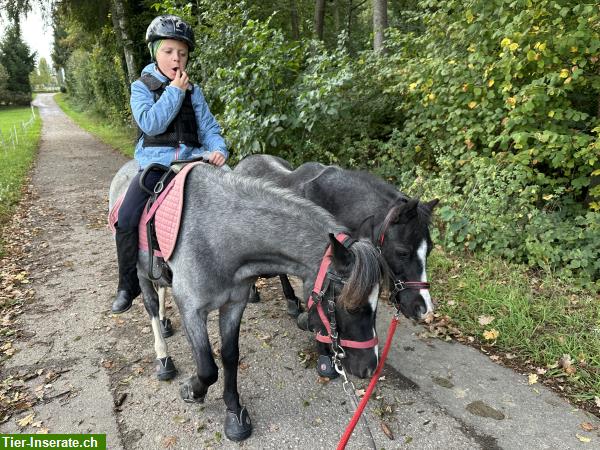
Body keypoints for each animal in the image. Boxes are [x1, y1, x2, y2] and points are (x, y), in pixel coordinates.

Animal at [109, 160, 382, 442]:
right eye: (349, 306)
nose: (370, 367)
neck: (216, 237)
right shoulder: (191, 310)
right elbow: (207, 367)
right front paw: (193, 390)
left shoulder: (234, 304)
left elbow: (230, 356)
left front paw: (233, 410)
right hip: (141, 272)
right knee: (151, 304)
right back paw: (162, 356)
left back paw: (165, 323)